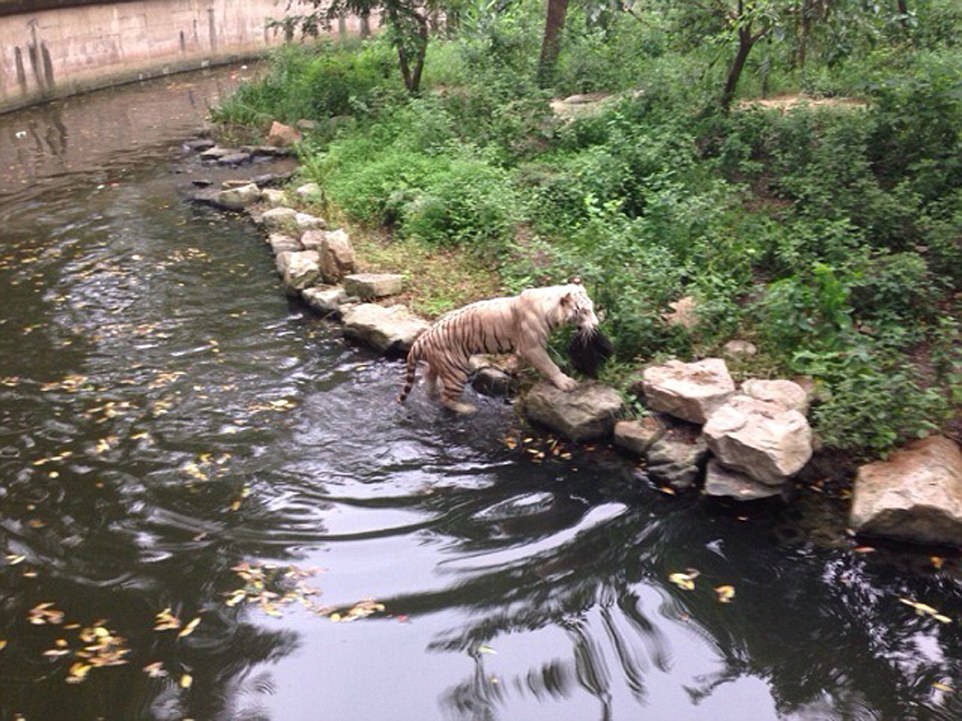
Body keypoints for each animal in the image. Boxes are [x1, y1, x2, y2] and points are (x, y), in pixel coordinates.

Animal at [396, 282, 592, 414]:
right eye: (583, 311)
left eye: (590, 308)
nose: (596, 324)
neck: (551, 308)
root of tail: (422, 339)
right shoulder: (533, 347)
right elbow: (550, 365)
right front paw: (567, 383)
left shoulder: (523, 347)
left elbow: (516, 359)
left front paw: (509, 368)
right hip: (457, 370)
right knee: (447, 399)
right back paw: (467, 409)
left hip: (439, 365)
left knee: (429, 377)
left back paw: (433, 393)